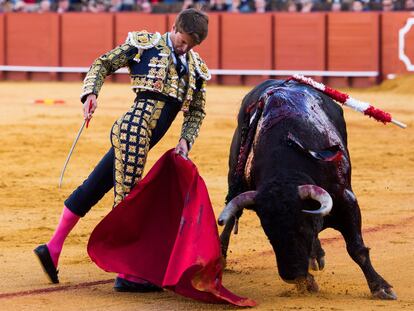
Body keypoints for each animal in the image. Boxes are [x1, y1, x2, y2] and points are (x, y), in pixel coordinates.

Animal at [218, 79, 396, 302]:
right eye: (268, 233)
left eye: (302, 228)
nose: (291, 275)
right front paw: (307, 282)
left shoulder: (347, 200)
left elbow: (357, 248)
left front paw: (381, 287)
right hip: (234, 172)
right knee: (231, 215)